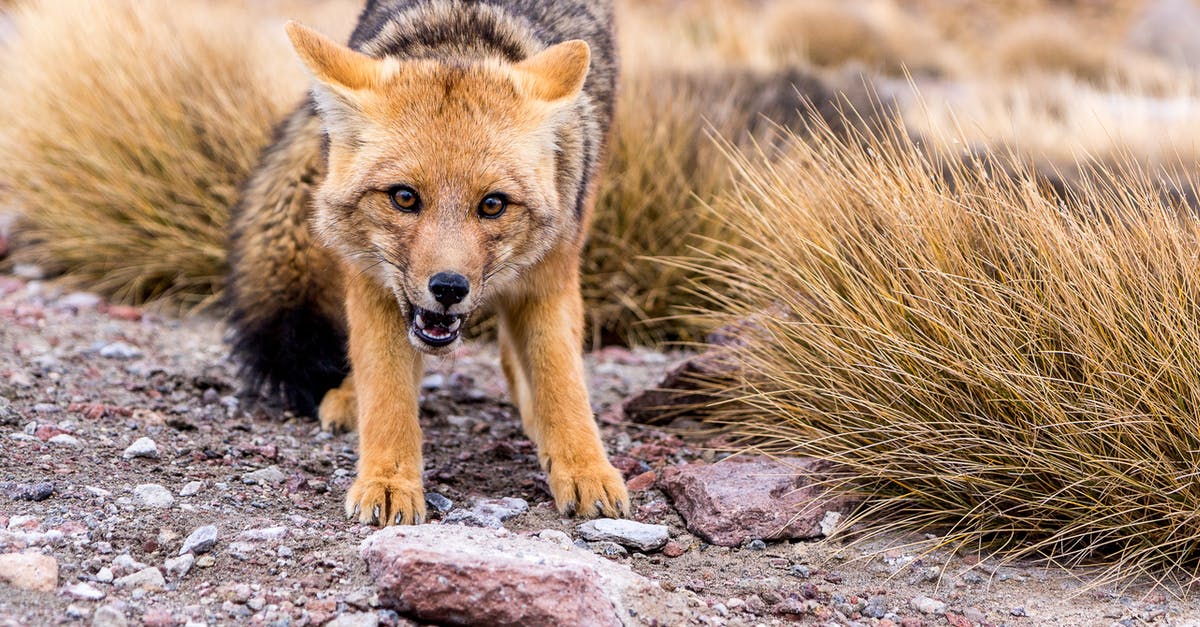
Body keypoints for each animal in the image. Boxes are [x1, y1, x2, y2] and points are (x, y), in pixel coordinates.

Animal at [226, 0, 629, 526]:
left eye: (492, 205)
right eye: (404, 198)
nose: (449, 287)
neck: (461, 38)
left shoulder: (549, 279)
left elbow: (562, 382)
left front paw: (585, 468)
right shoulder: (373, 286)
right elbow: (388, 395)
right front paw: (389, 481)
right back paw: (350, 397)